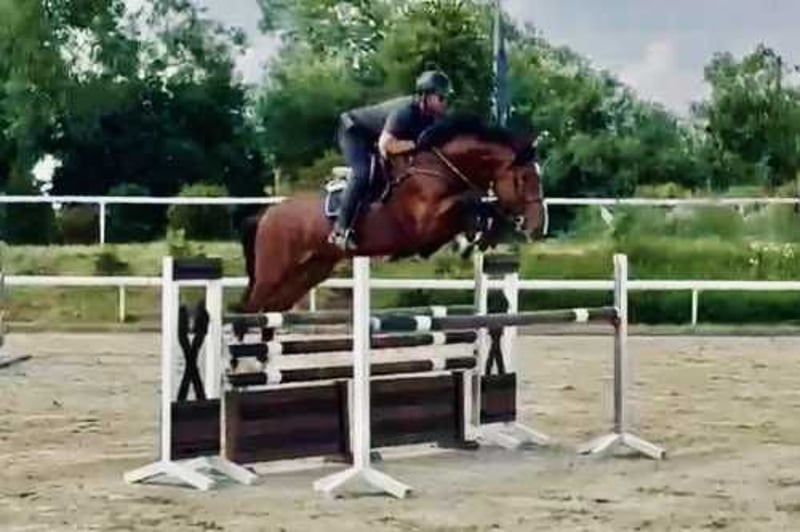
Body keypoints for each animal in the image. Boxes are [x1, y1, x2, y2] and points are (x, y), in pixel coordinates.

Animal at [236, 115, 546, 315]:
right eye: (523, 178)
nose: (538, 225)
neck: (437, 168)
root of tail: (266, 215)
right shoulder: (427, 224)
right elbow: (470, 202)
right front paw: (476, 236)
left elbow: (479, 206)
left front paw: (483, 235)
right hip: (273, 271)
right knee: (251, 308)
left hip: (311, 270)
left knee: (272, 309)